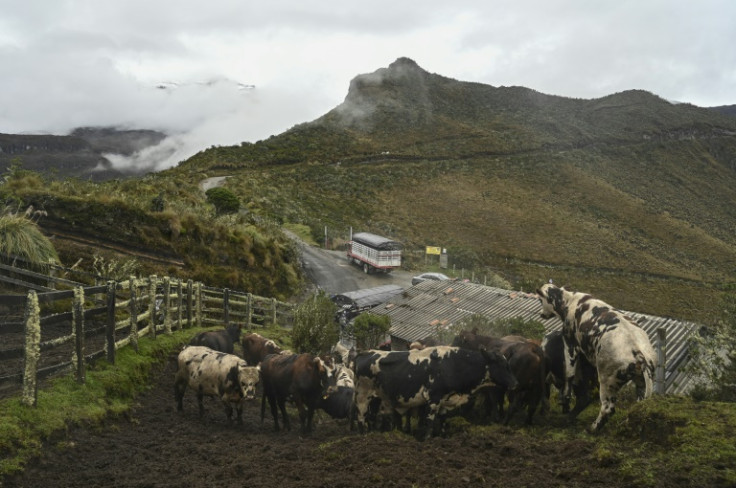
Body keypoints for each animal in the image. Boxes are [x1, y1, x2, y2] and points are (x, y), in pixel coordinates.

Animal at [352, 346, 516, 440]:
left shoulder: (445, 400)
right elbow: (430, 422)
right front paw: (427, 440)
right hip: (363, 395)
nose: (516, 383)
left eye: (508, 364)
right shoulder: (433, 399)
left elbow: (442, 421)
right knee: (360, 416)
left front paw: (441, 437)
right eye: (502, 365)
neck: (453, 364)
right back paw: (362, 436)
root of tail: (365, 352)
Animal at [536, 282, 656, 430]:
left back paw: (592, 428)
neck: (571, 301)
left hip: (607, 381)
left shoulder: (570, 342)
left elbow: (569, 373)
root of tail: (639, 353)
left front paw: (565, 397)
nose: (541, 314)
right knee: (636, 406)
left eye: (540, 300)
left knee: (607, 408)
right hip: (640, 383)